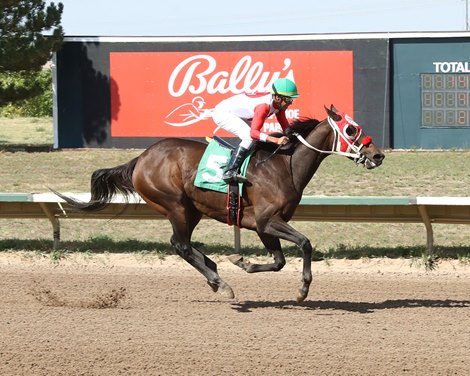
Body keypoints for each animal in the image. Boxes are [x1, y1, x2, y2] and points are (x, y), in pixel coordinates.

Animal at [56, 105, 386, 302]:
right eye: (352, 129)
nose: (378, 155)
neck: (284, 165)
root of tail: (141, 158)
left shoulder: (262, 225)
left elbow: (278, 261)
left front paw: (242, 261)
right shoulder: (267, 220)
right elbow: (305, 243)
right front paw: (303, 289)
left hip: (192, 209)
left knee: (182, 244)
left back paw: (214, 272)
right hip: (175, 205)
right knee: (181, 244)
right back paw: (219, 281)